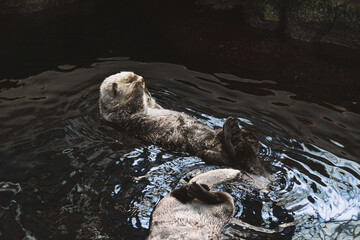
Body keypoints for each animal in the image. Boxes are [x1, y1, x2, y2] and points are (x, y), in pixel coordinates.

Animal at [98, 71, 268, 176]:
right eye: (128, 80)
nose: (141, 79)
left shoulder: (152, 106)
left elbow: (153, 102)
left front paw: (146, 90)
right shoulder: (123, 114)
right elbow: (133, 103)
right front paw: (137, 87)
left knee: (249, 147)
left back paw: (238, 133)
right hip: (208, 154)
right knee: (234, 157)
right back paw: (232, 133)